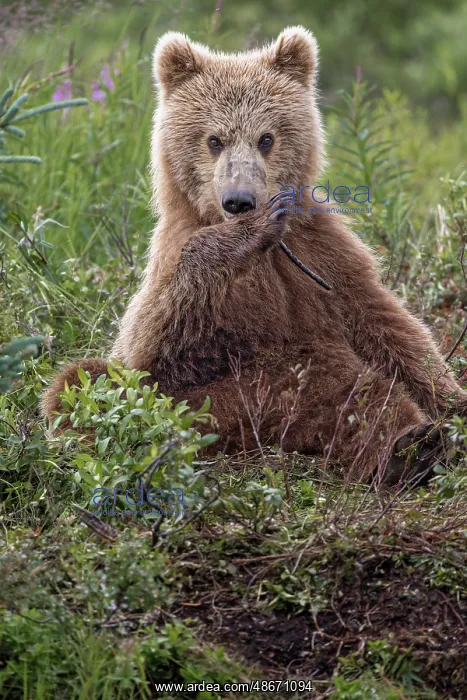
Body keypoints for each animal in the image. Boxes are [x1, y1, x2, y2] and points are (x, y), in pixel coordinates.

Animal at [42, 26, 467, 485]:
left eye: (266, 138)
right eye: (214, 140)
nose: (240, 201)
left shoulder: (322, 253)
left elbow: (387, 327)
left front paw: (453, 401)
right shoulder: (174, 265)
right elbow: (151, 351)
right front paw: (242, 235)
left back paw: (415, 443)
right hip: (207, 404)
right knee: (79, 382)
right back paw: (405, 447)